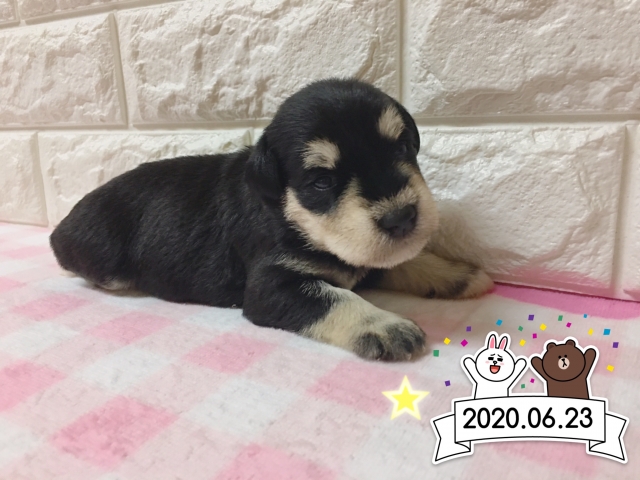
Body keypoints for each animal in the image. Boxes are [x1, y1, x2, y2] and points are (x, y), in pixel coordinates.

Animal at [50, 78, 493, 361]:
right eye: (321, 181)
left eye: (401, 146)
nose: (402, 217)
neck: (292, 216)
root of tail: (59, 229)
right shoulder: (272, 285)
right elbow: (335, 297)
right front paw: (386, 327)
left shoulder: (363, 256)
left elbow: (406, 261)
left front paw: (462, 274)